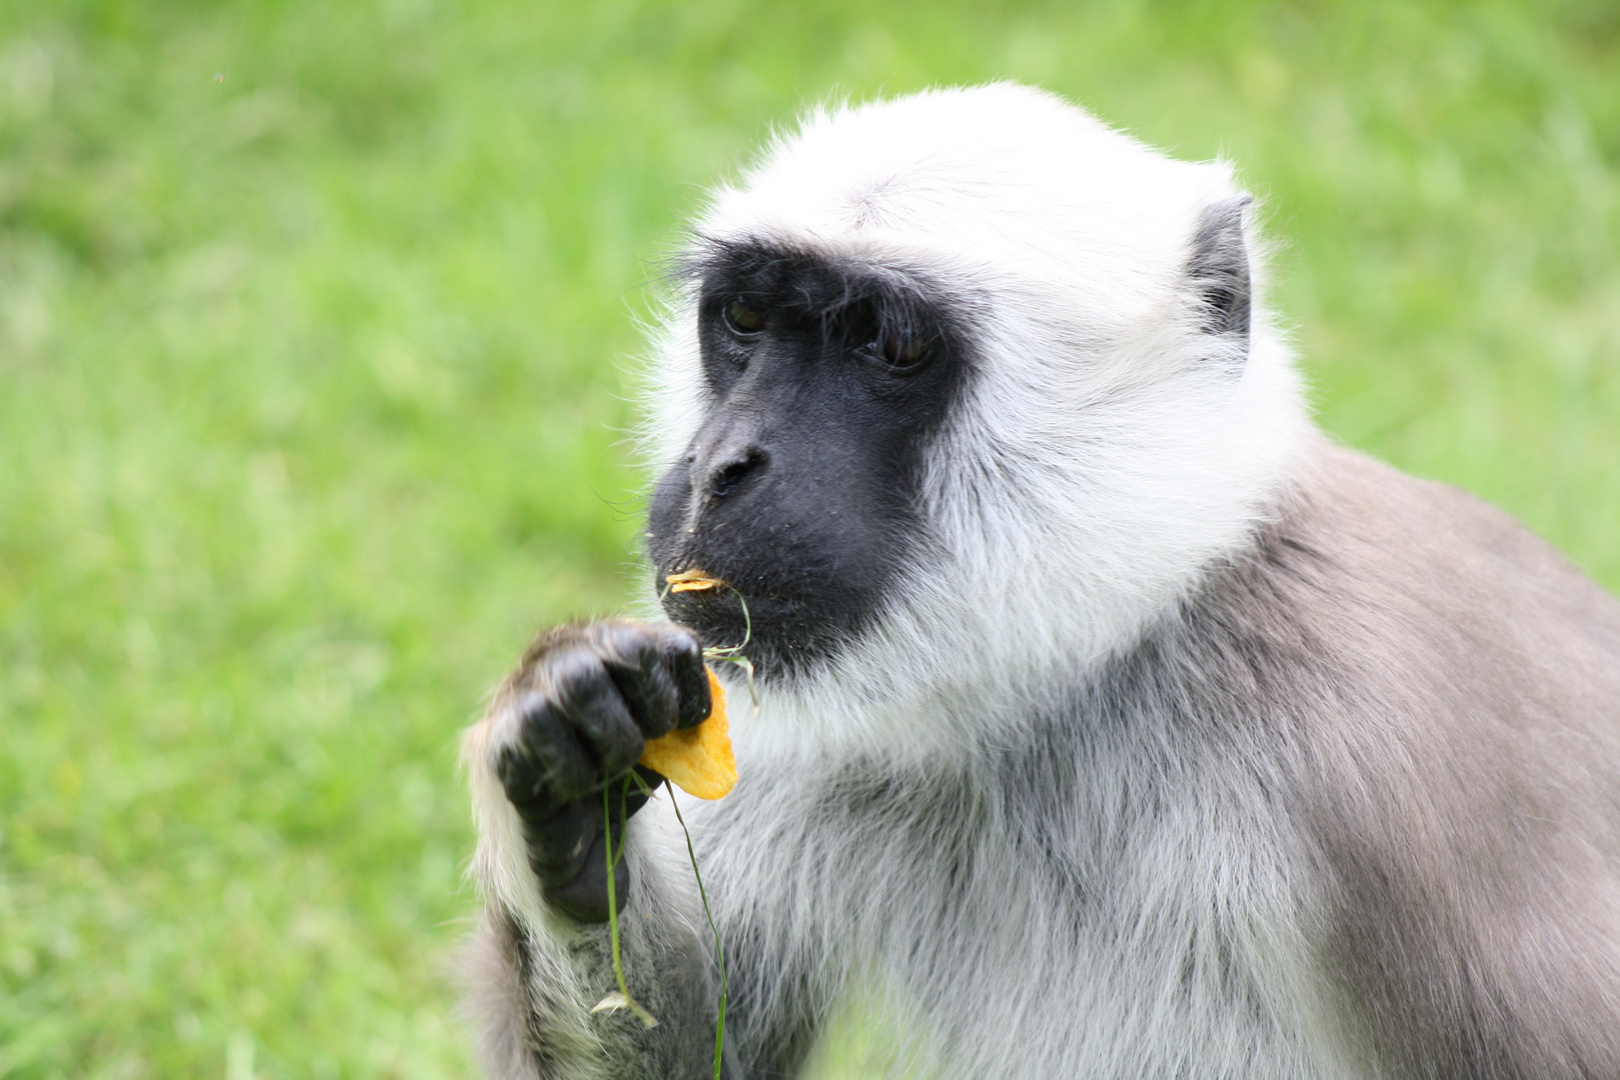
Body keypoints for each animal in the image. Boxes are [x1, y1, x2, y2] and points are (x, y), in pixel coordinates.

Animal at [453, 86, 1620, 1080]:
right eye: (747, 321)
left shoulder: (1378, 781)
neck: (1083, 689)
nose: (723, 463)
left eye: (891, 345)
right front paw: (570, 770)